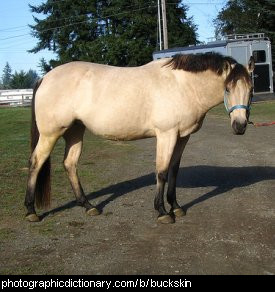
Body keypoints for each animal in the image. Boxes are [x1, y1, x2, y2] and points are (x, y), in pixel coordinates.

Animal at [24, 52, 256, 224]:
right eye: (228, 88)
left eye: (251, 90)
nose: (240, 126)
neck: (182, 85)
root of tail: (44, 77)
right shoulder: (166, 134)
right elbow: (161, 171)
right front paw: (162, 212)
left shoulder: (182, 137)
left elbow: (174, 171)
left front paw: (176, 207)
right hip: (51, 133)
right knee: (36, 162)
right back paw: (31, 211)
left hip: (75, 131)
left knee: (70, 164)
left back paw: (88, 206)